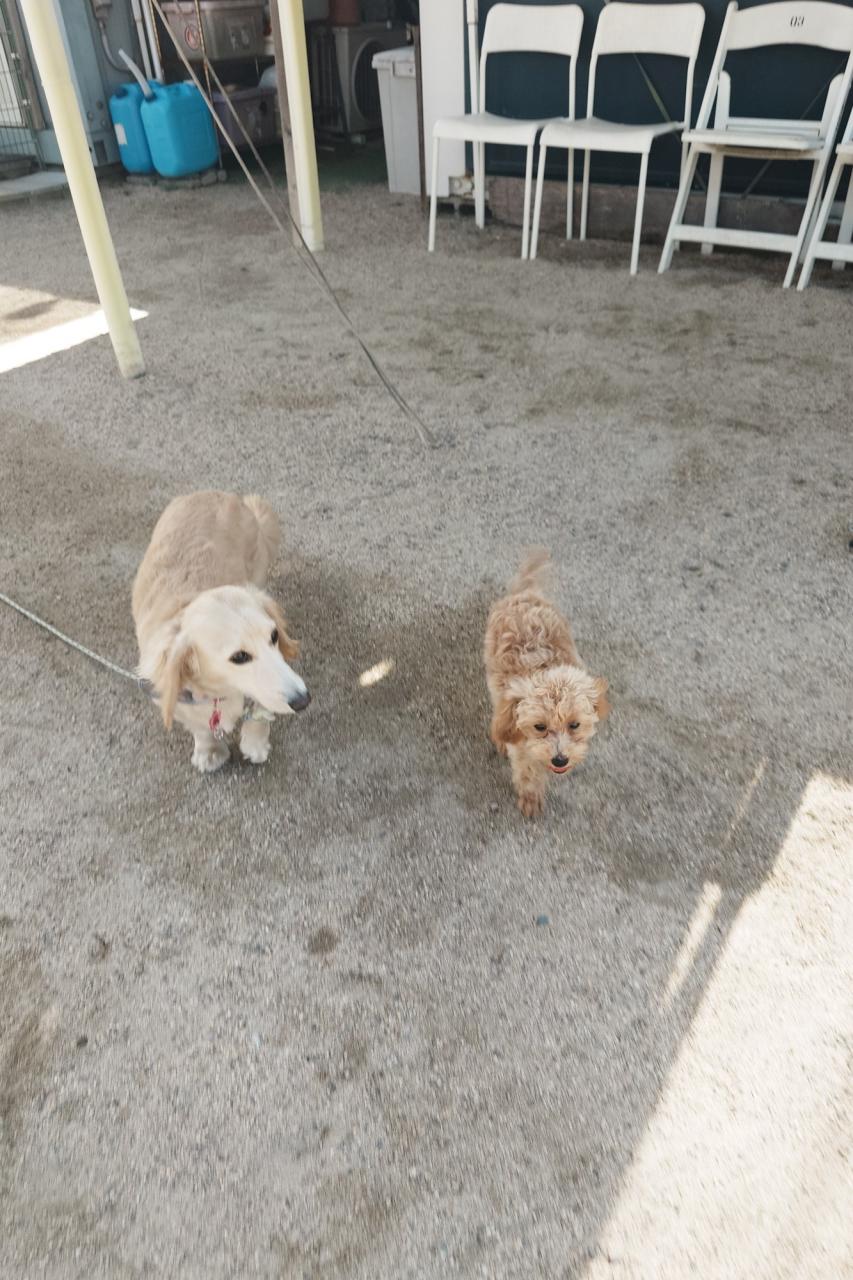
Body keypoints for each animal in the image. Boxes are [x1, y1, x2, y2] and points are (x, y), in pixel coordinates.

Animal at [132, 491, 310, 774]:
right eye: (239, 656)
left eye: (274, 636)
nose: (303, 700)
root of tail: (213, 492)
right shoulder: (176, 696)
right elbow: (200, 726)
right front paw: (210, 751)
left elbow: (260, 708)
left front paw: (255, 743)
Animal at [484, 552, 609, 817]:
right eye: (539, 726)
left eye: (575, 724)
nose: (560, 760)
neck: (542, 668)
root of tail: (526, 592)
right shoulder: (522, 747)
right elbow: (528, 771)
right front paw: (531, 799)